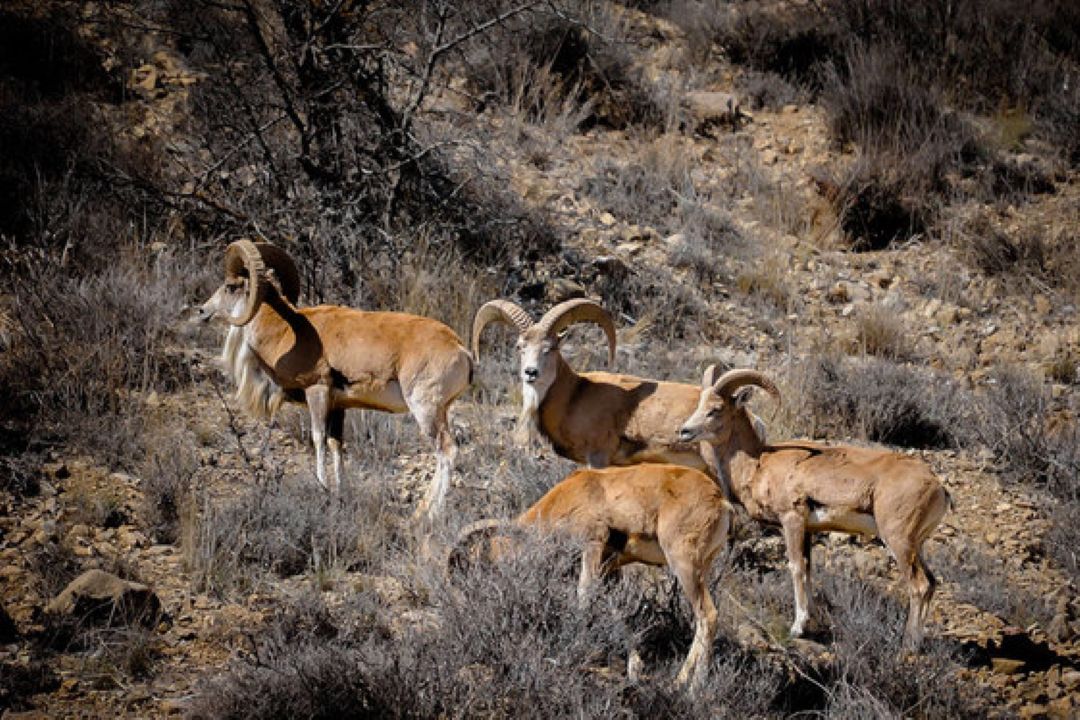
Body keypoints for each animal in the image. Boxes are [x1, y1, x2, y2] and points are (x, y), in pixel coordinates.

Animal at [197, 241, 473, 518]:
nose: (202, 311)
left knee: (447, 451)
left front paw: (322, 489)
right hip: (440, 411)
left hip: (425, 409)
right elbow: (335, 445)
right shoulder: (339, 407)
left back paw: (429, 515)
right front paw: (341, 494)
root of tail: (460, 349)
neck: (286, 331)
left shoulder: (317, 392)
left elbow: (318, 440)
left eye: (229, 286)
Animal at [447, 464, 734, 690]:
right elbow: (614, 611)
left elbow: (583, 598)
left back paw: (693, 688)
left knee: (708, 615)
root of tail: (720, 501)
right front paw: (634, 669)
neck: (570, 496)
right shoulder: (608, 569)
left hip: (685, 566)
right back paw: (679, 682)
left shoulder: (592, 547)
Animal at [678, 367, 950, 647]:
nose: (684, 431)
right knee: (931, 583)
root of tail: (937, 487)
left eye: (716, 409)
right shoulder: (808, 531)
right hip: (916, 544)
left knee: (918, 586)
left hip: (898, 540)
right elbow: (808, 572)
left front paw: (797, 628)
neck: (758, 464)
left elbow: (796, 568)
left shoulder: (792, 521)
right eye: (699, 404)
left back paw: (909, 643)